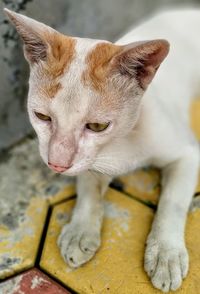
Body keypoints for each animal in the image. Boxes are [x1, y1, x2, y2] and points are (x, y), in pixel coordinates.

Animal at [4, 6, 200, 292]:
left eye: (97, 126)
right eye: (41, 116)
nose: (57, 164)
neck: (122, 140)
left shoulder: (188, 153)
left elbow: (172, 202)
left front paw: (165, 252)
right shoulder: (86, 161)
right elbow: (89, 187)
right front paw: (81, 229)